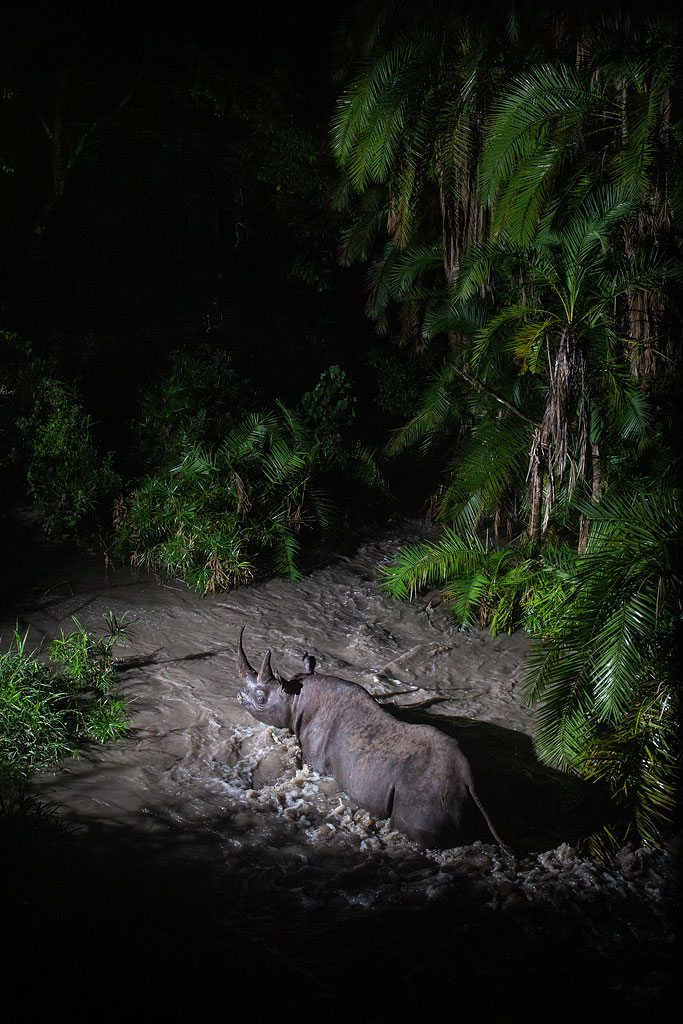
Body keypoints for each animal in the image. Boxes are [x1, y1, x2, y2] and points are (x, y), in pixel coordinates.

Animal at [236, 628, 507, 850]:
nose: (239, 696)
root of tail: (467, 780)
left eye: (260, 698)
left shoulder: (315, 759)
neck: (295, 698)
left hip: (426, 793)